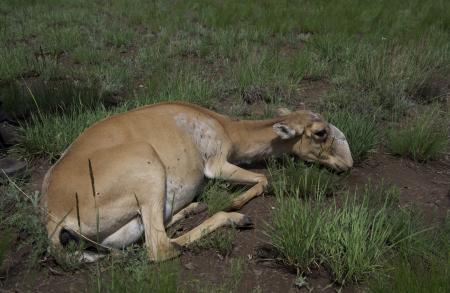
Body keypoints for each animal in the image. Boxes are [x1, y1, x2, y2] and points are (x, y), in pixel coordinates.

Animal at [40, 101, 354, 260]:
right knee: (161, 247)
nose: (348, 164)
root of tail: (53, 215)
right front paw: (235, 202)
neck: (225, 126)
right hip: (149, 170)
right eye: (320, 132)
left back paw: (194, 208)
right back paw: (234, 217)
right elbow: (263, 178)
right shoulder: (217, 164)